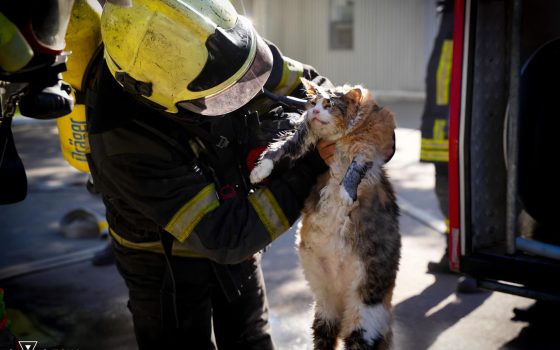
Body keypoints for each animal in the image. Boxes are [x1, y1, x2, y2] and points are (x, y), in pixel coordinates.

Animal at [250, 79, 402, 350]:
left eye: (329, 104)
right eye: (312, 102)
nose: (315, 111)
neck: (339, 138)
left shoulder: (367, 148)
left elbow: (353, 171)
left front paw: (345, 195)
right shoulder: (303, 135)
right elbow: (278, 149)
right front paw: (258, 172)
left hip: (363, 321)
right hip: (324, 314)